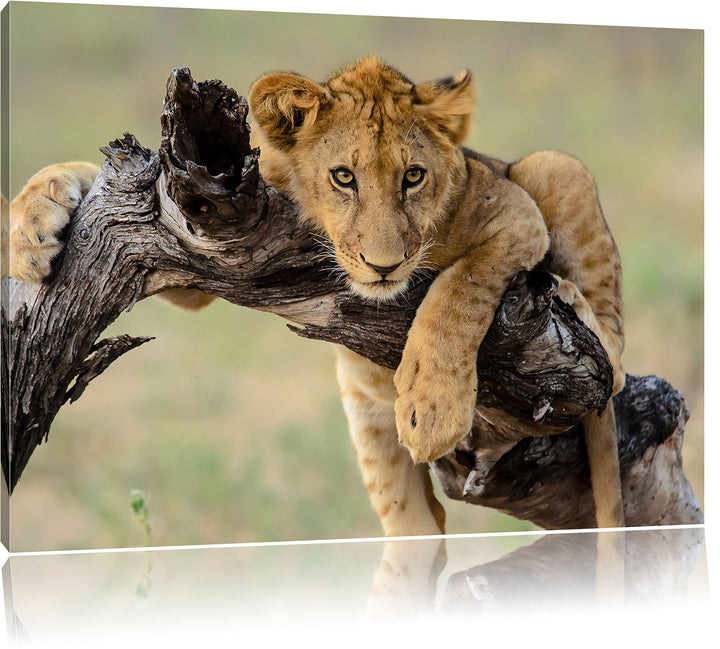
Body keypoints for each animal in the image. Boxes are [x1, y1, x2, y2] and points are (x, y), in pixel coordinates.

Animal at [3, 56, 626, 538]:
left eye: (414, 177)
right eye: (343, 177)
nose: (384, 265)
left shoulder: (515, 216)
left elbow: (458, 290)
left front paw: (433, 406)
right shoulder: (200, 232)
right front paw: (32, 225)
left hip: (554, 168)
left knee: (612, 363)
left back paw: (575, 304)